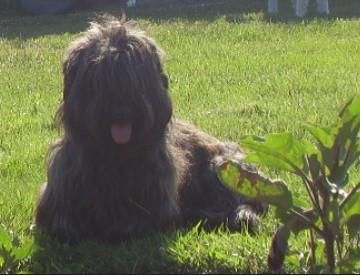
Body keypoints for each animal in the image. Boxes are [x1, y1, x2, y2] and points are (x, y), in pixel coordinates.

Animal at [34, 16, 264, 243]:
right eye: (100, 77)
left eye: (135, 77)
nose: (121, 112)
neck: (113, 158)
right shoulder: (59, 193)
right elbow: (61, 221)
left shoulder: (155, 200)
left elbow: (135, 222)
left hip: (221, 167)